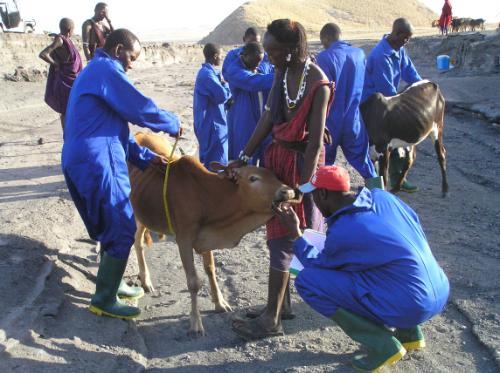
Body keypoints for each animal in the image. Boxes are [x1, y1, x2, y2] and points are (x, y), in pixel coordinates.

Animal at [128, 132, 296, 336]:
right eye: (253, 178)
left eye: (274, 174)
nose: (288, 191)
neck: (206, 195)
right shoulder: (184, 239)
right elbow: (193, 282)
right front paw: (196, 323)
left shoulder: (206, 237)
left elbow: (210, 270)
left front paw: (220, 302)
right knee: (137, 242)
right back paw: (145, 280)